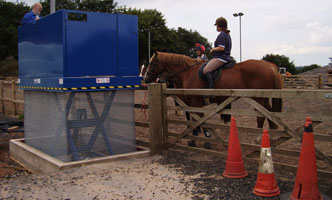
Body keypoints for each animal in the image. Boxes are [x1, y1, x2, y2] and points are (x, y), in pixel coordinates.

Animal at [143, 51, 282, 130]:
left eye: (151, 63)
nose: (146, 78)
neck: (187, 72)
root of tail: (270, 66)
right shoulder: (189, 103)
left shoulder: (196, 103)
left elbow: (196, 120)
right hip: (264, 99)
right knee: (271, 116)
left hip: (258, 99)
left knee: (261, 118)